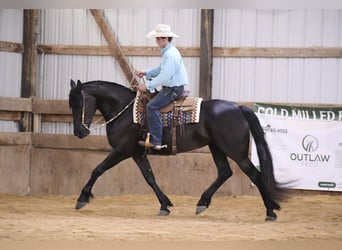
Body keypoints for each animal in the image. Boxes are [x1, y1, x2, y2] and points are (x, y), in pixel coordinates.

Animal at [69, 79, 286, 221]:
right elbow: (150, 178)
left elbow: (97, 169)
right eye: (70, 105)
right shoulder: (137, 153)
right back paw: (202, 203)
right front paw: (165, 205)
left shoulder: (122, 151)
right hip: (216, 147)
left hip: (236, 152)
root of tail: (238, 107)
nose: (79, 132)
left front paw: (82, 198)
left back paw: (270, 212)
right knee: (224, 172)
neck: (125, 111)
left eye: (78, 103)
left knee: (254, 175)